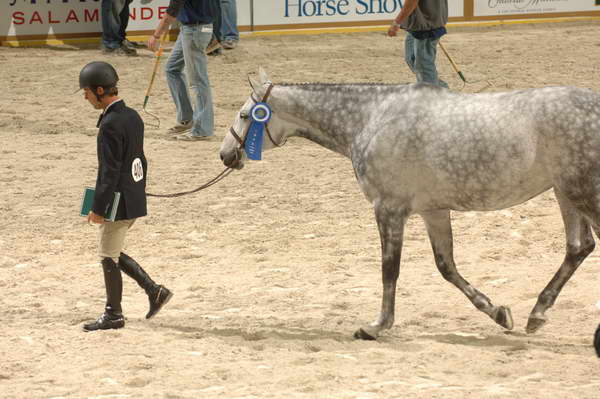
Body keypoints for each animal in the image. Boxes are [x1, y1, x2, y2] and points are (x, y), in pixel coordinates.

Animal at [219, 69, 600, 344]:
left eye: (245, 115)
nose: (225, 154)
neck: (369, 119)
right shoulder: (434, 211)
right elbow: (446, 267)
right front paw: (498, 313)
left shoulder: (388, 209)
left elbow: (390, 270)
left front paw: (375, 326)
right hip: (566, 194)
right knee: (579, 247)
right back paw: (537, 314)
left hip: (582, 193)